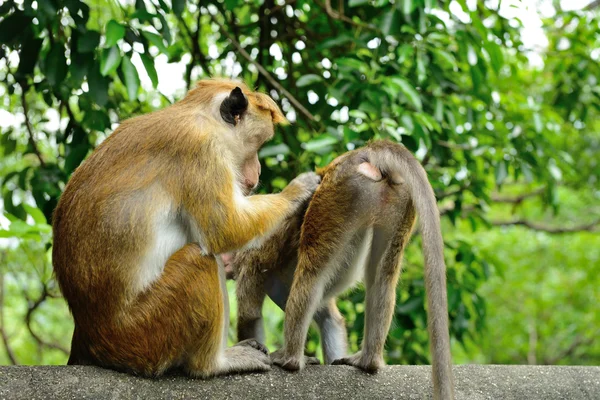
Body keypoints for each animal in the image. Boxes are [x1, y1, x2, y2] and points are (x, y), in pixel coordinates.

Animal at [52, 79, 318, 378]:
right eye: (257, 145)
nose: (258, 172)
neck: (201, 116)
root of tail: (90, 335)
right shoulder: (202, 149)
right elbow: (226, 229)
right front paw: (297, 191)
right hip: (143, 332)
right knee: (198, 259)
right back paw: (214, 364)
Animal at [233, 141, 454, 400]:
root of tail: (364, 151)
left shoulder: (251, 263)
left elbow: (250, 316)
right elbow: (331, 319)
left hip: (335, 196)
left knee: (312, 275)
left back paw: (290, 359)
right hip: (397, 200)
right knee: (381, 277)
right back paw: (367, 361)